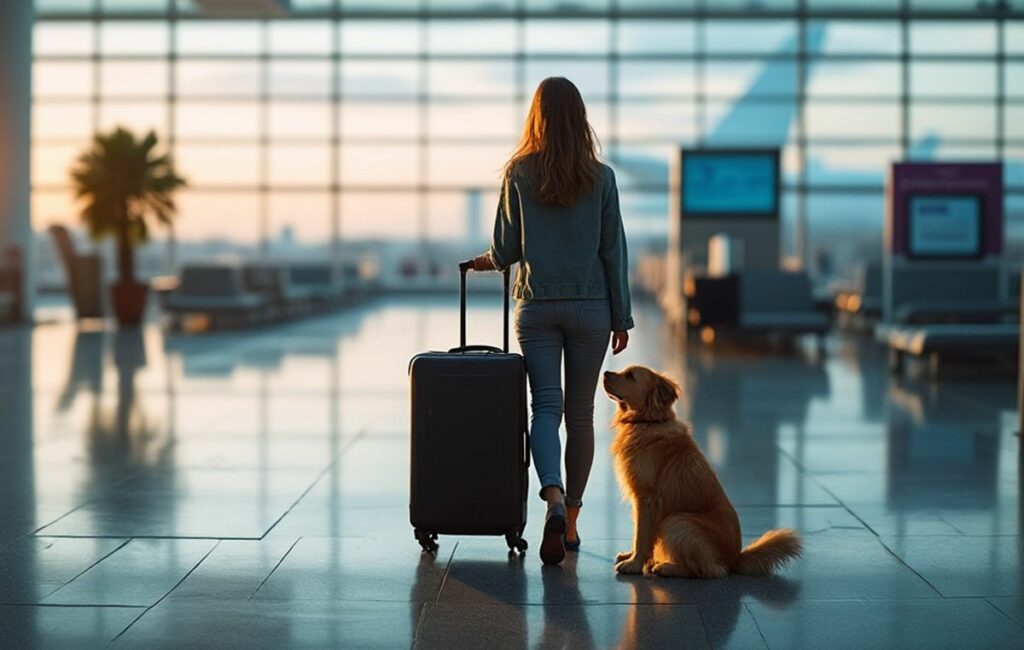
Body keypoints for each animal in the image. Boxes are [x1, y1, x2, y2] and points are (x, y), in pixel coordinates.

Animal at [602, 366, 802, 581]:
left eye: (631, 376)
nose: (604, 373)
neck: (648, 422)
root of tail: (734, 558)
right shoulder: (640, 501)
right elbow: (638, 532)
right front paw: (630, 556)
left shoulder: (648, 499)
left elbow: (642, 535)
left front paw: (634, 563)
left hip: (676, 522)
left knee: (707, 570)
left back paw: (666, 568)